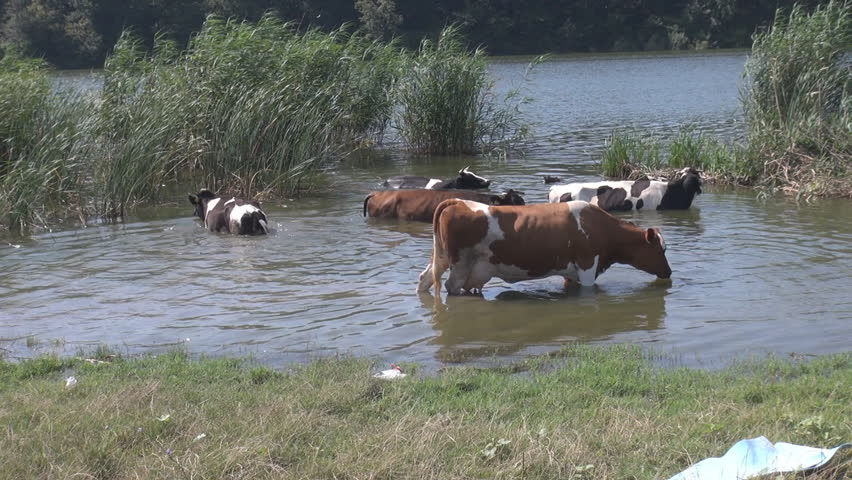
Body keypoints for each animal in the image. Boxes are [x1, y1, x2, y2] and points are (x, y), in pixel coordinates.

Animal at [420, 197, 672, 294]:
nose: (669, 272)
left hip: (441, 257)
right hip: (460, 263)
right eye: (660, 249)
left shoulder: (571, 272)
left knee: (424, 278)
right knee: (451, 286)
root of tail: (458, 201)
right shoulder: (587, 266)